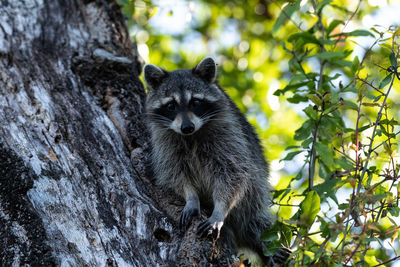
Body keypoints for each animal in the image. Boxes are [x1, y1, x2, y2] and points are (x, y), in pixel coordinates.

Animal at [144, 57, 290, 266]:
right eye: (171, 105)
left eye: (196, 102)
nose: (187, 127)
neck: (191, 136)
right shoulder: (166, 144)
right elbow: (175, 174)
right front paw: (191, 197)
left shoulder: (229, 136)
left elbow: (234, 175)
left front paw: (219, 210)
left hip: (253, 201)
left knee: (257, 222)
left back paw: (266, 246)